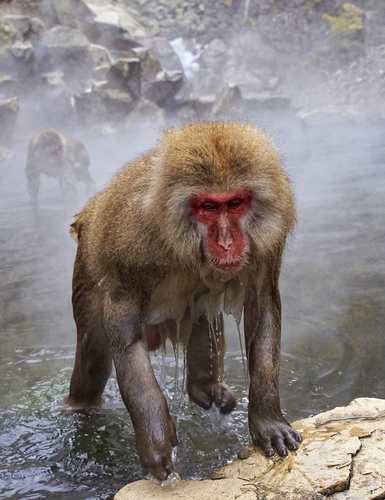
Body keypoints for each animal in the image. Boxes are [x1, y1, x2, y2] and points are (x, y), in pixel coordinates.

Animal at [65, 120, 300, 480]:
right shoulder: (128, 248)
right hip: (87, 274)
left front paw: (267, 420)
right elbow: (126, 340)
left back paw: (203, 386)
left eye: (234, 204)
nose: (227, 242)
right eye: (208, 207)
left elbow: (262, 310)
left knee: (202, 310)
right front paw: (155, 435)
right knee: (93, 364)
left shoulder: (270, 235)